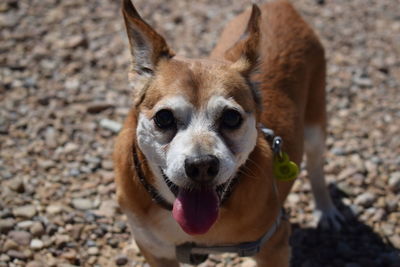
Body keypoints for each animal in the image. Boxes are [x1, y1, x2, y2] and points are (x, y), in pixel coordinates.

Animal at [114, 0, 342, 266]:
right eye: (164, 118)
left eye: (232, 118)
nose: (202, 165)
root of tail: (278, 5)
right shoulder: (154, 250)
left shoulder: (274, 243)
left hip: (315, 124)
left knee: (316, 166)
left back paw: (325, 210)